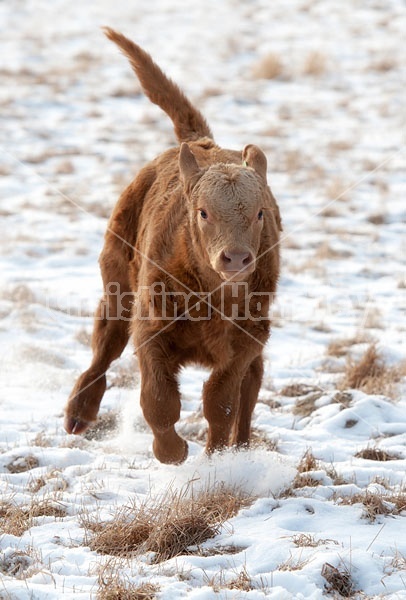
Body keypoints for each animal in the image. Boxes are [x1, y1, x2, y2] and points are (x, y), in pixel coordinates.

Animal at [66, 29, 282, 464]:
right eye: (202, 212)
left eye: (259, 213)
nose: (236, 257)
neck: (211, 297)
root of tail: (201, 141)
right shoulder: (151, 328)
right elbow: (158, 400)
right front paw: (173, 452)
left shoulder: (248, 339)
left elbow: (221, 402)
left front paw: (217, 459)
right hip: (116, 285)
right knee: (105, 344)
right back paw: (78, 415)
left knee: (251, 388)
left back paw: (243, 447)